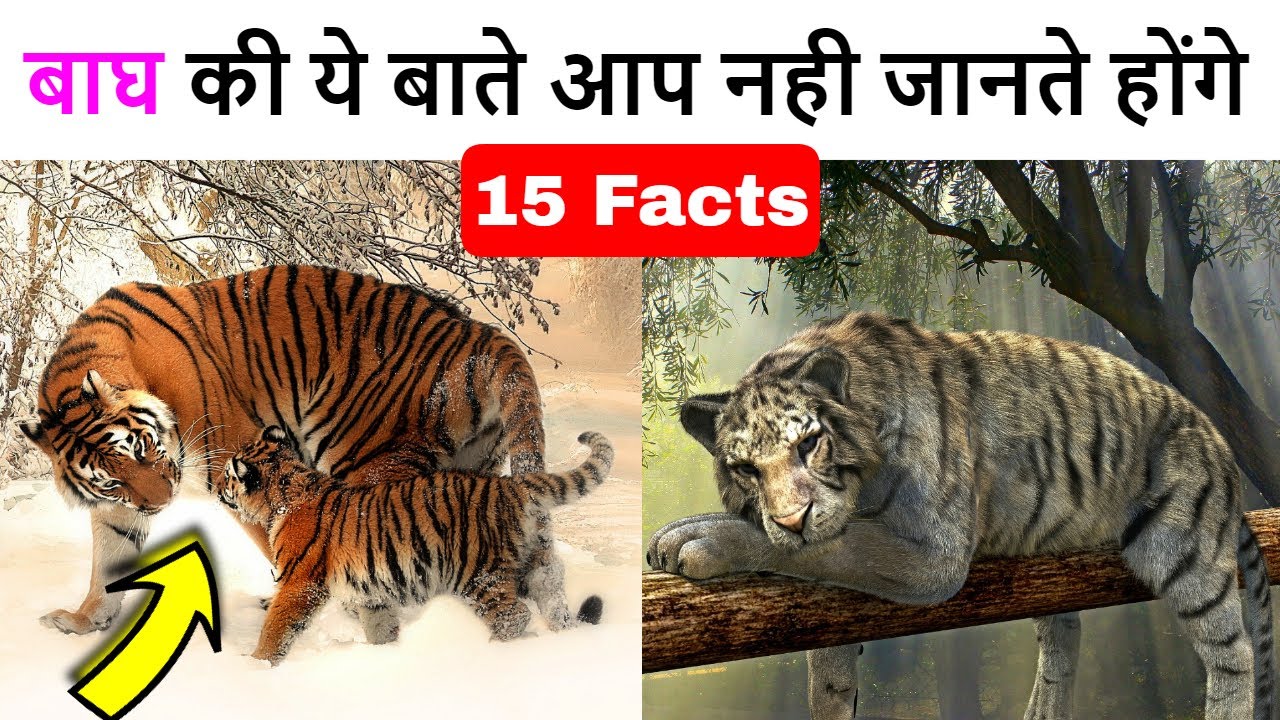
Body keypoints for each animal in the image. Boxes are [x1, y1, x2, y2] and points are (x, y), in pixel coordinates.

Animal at [16, 265, 559, 643]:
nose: (161, 504)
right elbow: (108, 557)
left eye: (145, 448)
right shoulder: (117, 506)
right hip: (467, 471)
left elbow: (276, 539)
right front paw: (84, 620)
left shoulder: (236, 462)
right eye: (111, 479)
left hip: (367, 458)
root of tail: (485, 336)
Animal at [216, 426, 613, 665]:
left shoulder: (299, 583)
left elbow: (276, 627)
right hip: (534, 563)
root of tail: (511, 485)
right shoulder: (371, 593)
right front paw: (386, 655)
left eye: (228, 476)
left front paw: (256, 666)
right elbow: (380, 627)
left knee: (513, 615)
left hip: (478, 574)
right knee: (552, 597)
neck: (286, 491)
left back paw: (491, 652)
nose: (217, 487)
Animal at [647, 311, 1275, 720]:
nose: (793, 518)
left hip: (1183, 552)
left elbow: (834, 548)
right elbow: (828, 662)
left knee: (1234, 657)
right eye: (745, 469)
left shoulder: (933, 557)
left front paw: (696, 538)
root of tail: (1218, 441)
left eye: (808, 444)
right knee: (1064, 628)